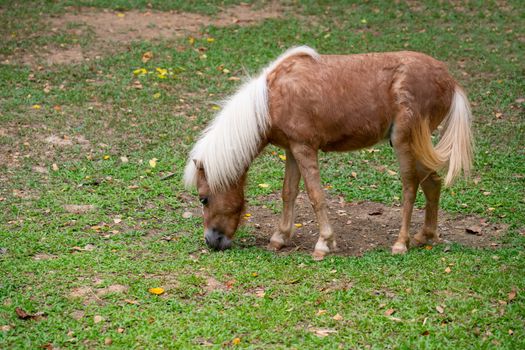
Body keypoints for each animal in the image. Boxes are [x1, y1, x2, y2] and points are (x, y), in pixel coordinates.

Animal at [183, 45, 470, 260]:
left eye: (203, 199)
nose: (211, 241)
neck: (270, 99)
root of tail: (449, 80)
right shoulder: (292, 151)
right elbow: (289, 193)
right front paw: (280, 237)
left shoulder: (305, 149)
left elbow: (315, 195)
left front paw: (324, 243)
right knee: (432, 182)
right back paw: (425, 236)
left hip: (404, 143)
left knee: (410, 187)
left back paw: (401, 243)